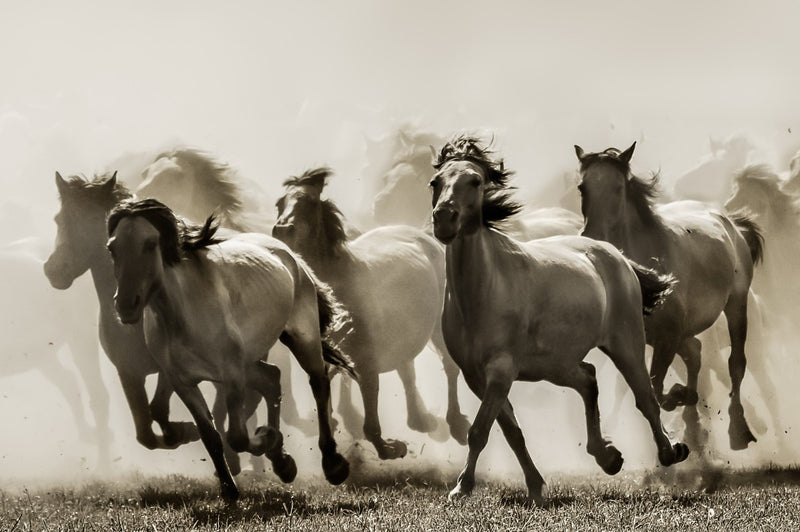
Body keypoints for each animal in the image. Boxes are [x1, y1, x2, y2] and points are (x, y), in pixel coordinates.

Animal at [106, 198, 353, 500]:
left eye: (151, 243)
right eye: (112, 247)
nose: (125, 305)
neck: (182, 313)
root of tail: (289, 254)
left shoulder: (232, 374)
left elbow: (236, 436)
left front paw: (265, 437)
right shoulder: (182, 381)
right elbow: (210, 435)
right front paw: (229, 488)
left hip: (301, 338)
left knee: (318, 383)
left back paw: (333, 465)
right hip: (250, 361)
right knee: (272, 378)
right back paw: (282, 463)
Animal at [273, 167, 471, 459]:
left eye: (308, 203)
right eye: (280, 204)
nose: (282, 231)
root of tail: (424, 237)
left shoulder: (366, 359)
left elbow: (369, 402)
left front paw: (388, 447)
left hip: (437, 327)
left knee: (448, 367)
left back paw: (455, 424)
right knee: (407, 369)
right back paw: (420, 419)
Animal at [429, 135, 688, 506]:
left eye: (475, 181)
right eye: (435, 182)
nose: (444, 219)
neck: (483, 291)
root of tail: (617, 256)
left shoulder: (501, 371)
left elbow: (479, 431)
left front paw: (461, 488)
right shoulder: (476, 376)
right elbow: (511, 432)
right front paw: (536, 487)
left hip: (626, 345)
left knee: (646, 399)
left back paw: (670, 452)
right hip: (556, 364)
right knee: (588, 378)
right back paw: (608, 457)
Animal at [575, 142, 764, 452]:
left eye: (618, 187)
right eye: (582, 187)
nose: (593, 235)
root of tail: (729, 222)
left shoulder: (668, 335)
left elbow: (656, 388)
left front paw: (678, 400)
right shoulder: (645, 339)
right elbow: (655, 388)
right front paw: (682, 400)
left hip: (736, 304)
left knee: (735, 363)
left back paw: (738, 430)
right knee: (695, 352)